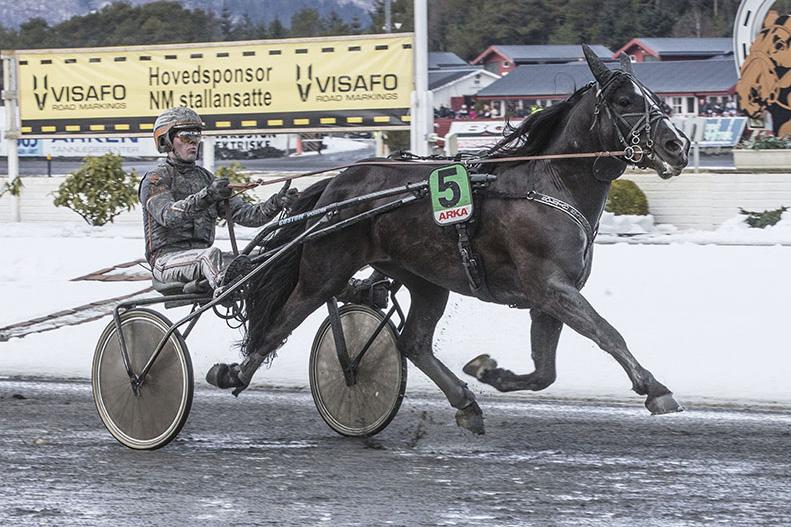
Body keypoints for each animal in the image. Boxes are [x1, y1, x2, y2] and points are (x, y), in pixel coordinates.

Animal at [207, 44, 688, 434]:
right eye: (625, 101)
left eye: (657, 98)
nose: (677, 145)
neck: (547, 185)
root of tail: (337, 185)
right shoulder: (550, 287)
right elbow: (608, 334)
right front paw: (656, 388)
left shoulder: (550, 295)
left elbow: (544, 372)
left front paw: (489, 373)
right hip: (326, 268)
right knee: (282, 320)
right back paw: (236, 372)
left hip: (424, 278)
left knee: (413, 342)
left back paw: (465, 401)